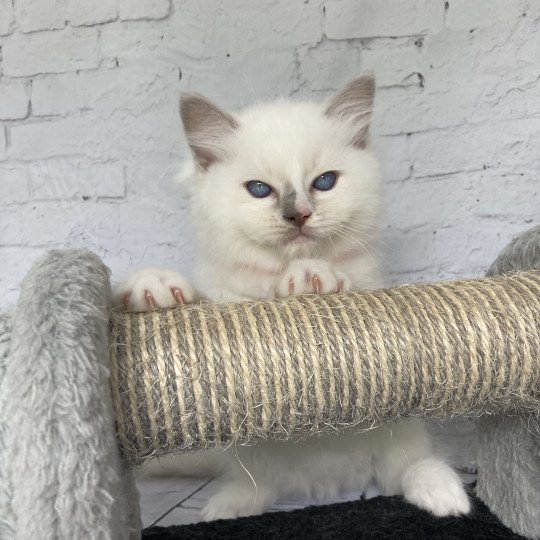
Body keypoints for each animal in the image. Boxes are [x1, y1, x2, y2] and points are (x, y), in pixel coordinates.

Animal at [115, 75, 468, 520]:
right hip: (251, 452)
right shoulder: (224, 310)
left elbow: (346, 285)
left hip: (400, 428)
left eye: (324, 182)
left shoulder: (371, 295)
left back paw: (444, 494)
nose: (298, 215)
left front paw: (310, 276)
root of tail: (329, 482)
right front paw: (155, 285)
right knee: (261, 486)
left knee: (406, 469)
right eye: (259, 190)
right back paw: (225, 508)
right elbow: (200, 301)